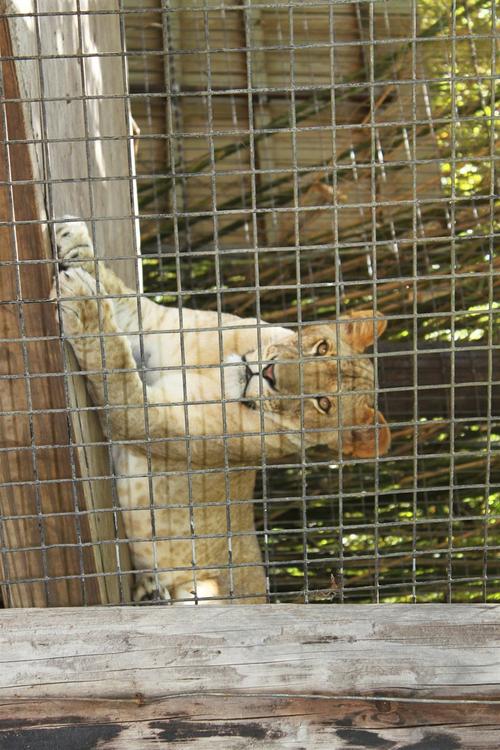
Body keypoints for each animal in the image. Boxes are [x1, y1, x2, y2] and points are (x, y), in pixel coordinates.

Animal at [54, 220, 390, 608]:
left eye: (323, 404)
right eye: (322, 348)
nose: (270, 373)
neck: (221, 365)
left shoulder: (144, 418)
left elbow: (114, 362)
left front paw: (82, 307)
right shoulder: (158, 324)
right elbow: (125, 298)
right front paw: (75, 243)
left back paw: (153, 595)